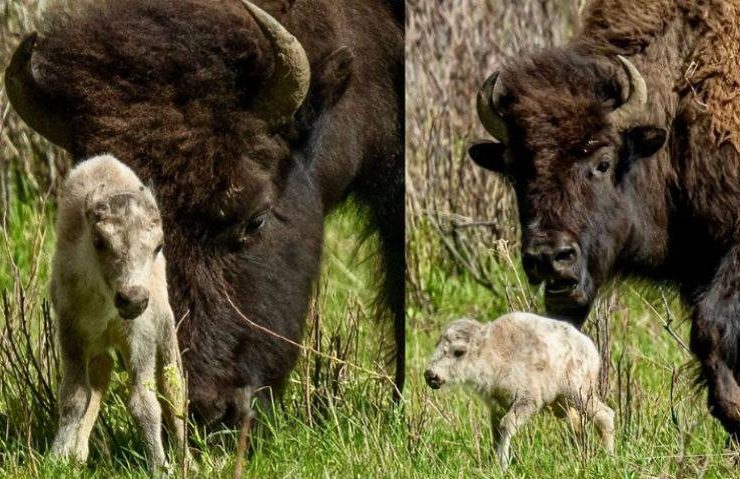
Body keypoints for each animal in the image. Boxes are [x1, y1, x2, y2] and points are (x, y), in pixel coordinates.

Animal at [50, 155, 186, 472]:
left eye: (158, 246)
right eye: (99, 241)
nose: (132, 299)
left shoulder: (140, 337)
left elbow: (144, 402)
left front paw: (160, 466)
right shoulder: (71, 332)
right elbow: (75, 395)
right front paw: (57, 457)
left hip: (165, 329)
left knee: (173, 387)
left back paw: (190, 460)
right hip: (98, 346)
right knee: (100, 376)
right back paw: (79, 453)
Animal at [424, 314, 616, 470]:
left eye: (459, 352)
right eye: (437, 344)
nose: (431, 375)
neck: (493, 352)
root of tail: (590, 348)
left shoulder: (528, 400)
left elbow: (506, 424)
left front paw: (502, 464)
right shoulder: (496, 406)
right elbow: (496, 432)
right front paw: (491, 462)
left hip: (578, 392)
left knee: (604, 415)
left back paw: (608, 457)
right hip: (562, 404)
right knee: (576, 425)